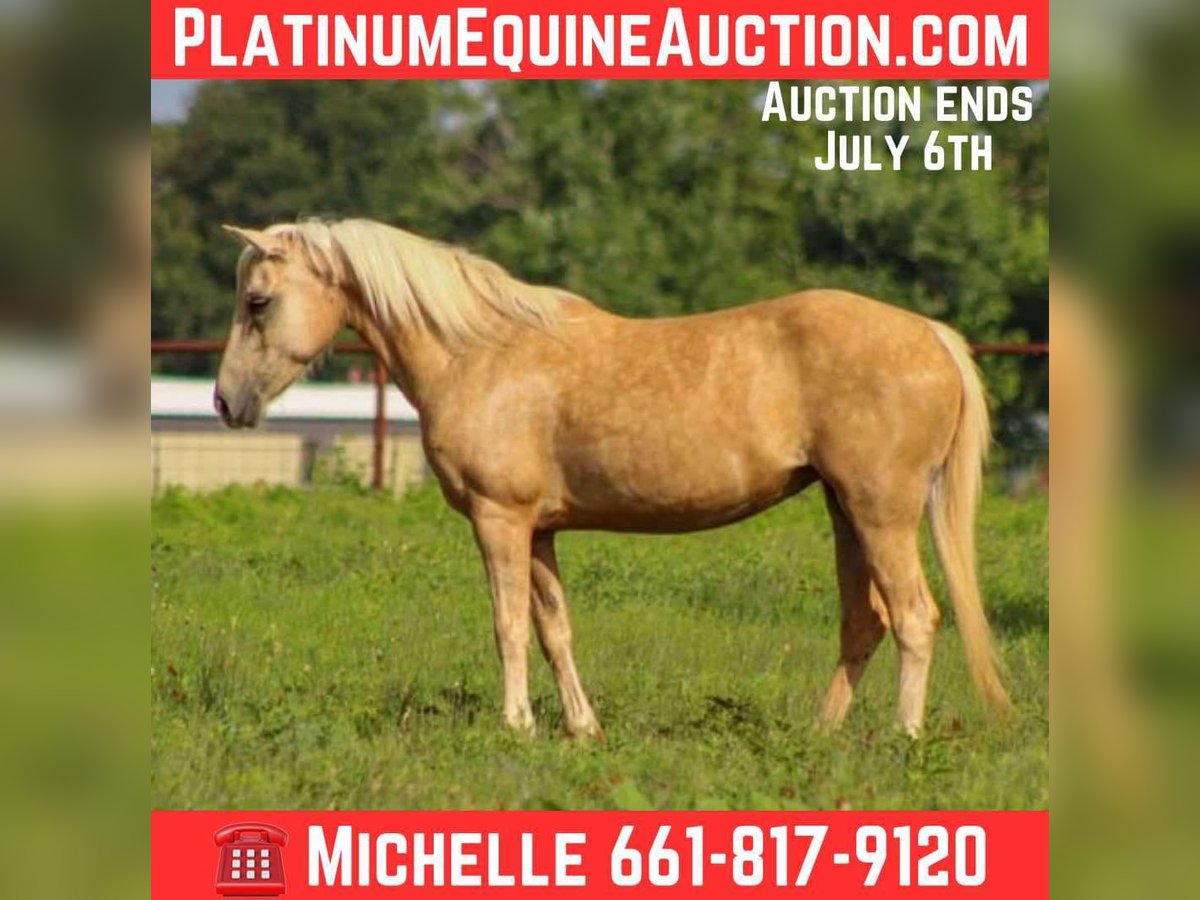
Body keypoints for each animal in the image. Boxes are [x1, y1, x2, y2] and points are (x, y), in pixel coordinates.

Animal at [214, 217, 1011, 739]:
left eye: (258, 301)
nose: (226, 402)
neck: (482, 352)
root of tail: (930, 335)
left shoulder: (499, 520)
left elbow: (507, 625)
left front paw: (516, 724)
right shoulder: (538, 531)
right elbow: (554, 629)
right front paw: (582, 729)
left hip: (882, 513)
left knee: (915, 617)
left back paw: (903, 738)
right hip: (846, 511)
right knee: (864, 622)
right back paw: (821, 736)